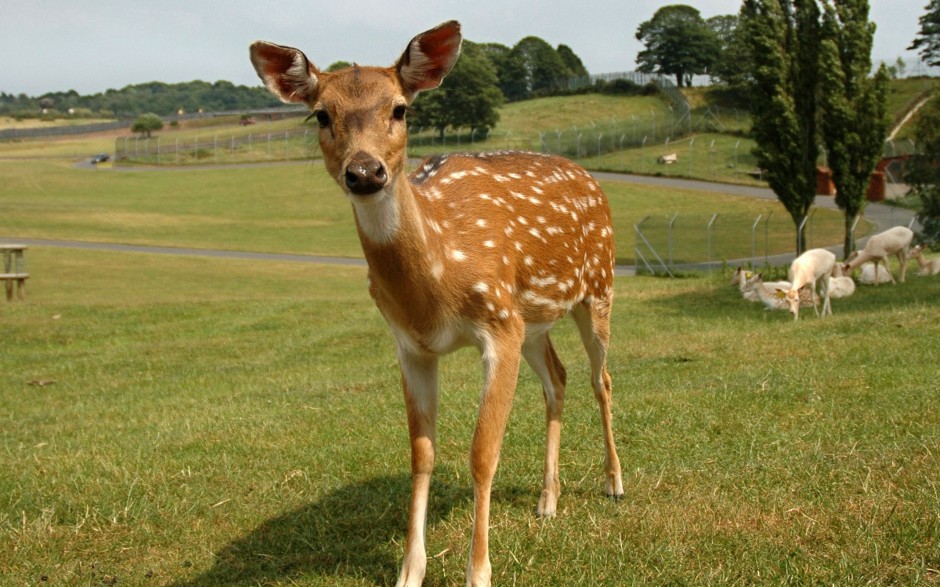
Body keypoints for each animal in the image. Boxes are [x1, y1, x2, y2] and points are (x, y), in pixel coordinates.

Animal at [250, 19, 624, 587]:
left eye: (400, 108)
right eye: (321, 114)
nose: (365, 172)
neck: (438, 285)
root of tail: (592, 179)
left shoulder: (497, 325)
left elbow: (482, 453)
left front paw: (479, 572)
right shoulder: (412, 345)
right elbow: (422, 454)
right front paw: (410, 569)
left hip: (597, 287)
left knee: (600, 378)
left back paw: (614, 483)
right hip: (533, 321)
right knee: (558, 378)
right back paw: (547, 501)